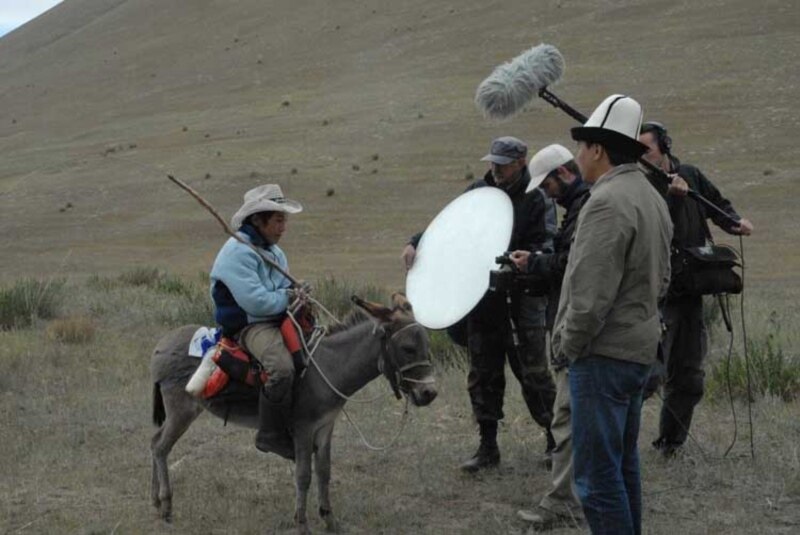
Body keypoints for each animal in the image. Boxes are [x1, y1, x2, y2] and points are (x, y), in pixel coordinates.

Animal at [149, 294, 437, 533]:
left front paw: (330, 520)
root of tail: (161, 343)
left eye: (427, 345)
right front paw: (302, 525)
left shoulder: (325, 427)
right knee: (162, 447)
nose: (430, 393)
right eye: (408, 348)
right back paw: (166, 505)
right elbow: (304, 476)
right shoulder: (303, 429)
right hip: (182, 410)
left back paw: (154, 501)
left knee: (154, 442)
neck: (329, 365)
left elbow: (324, 471)